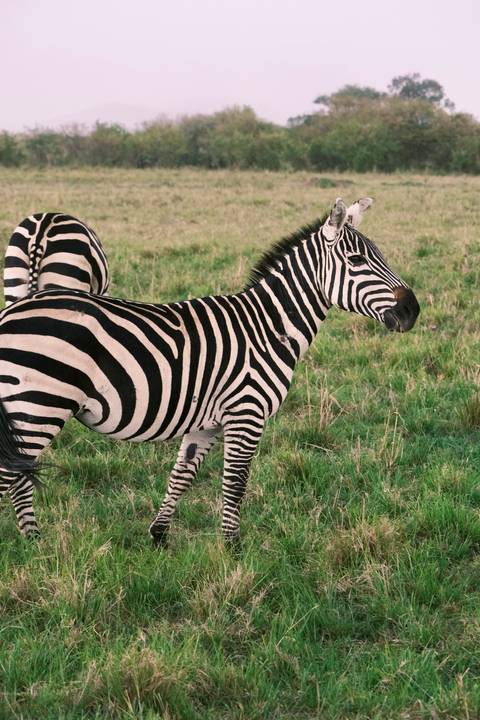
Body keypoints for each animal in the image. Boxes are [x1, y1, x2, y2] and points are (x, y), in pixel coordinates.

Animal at [0, 197, 419, 543]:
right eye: (357, 261)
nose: (412, 310)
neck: (269, 327)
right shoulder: (247, 412)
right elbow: (235, 482)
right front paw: (232, 549)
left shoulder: (207, 421)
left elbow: (181, 475)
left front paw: (159, 535)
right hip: (38, 406)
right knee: (13, 475)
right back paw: (32, 545)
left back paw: (33, 541)